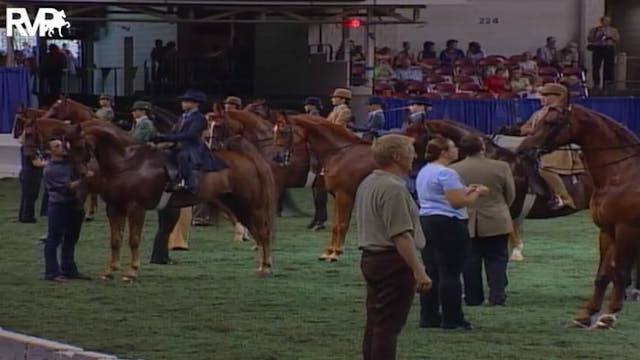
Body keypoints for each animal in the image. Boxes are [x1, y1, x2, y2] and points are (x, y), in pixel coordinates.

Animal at [516, 104, 640, 330]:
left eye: (551, 122)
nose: (524, 149)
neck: (622, 173)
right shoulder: (607, 231)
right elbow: (603, 275)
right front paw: (584, 316)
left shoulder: (626, 229)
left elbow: (619, 272)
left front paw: (608, 316)